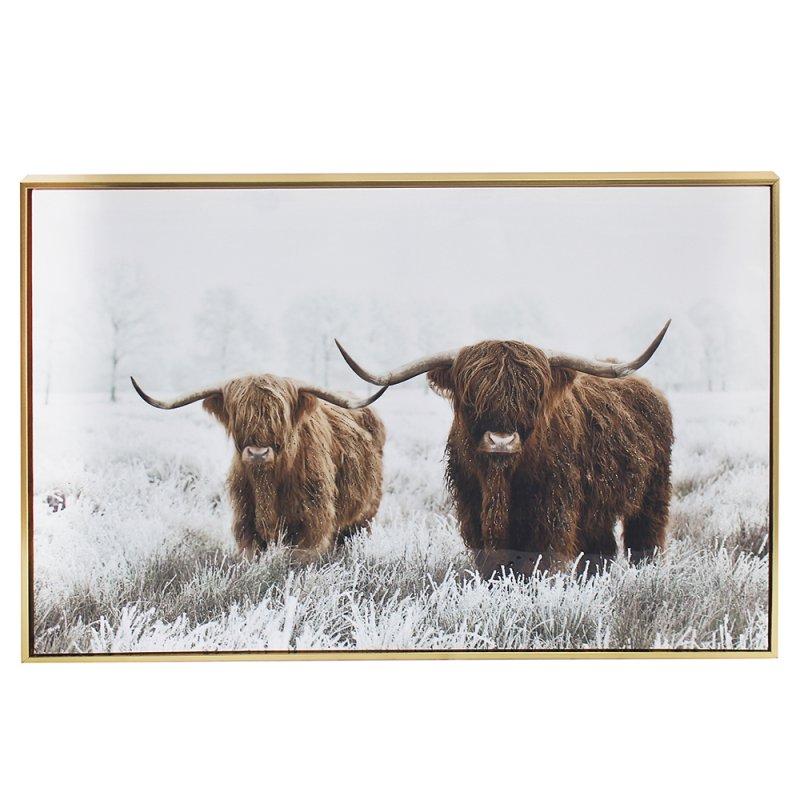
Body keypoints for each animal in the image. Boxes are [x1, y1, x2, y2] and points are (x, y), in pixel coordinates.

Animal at [131, 374, 387, 562]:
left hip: (365, 516)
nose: (257, 453)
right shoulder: (245, 523)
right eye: (238, 415)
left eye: (280, 415)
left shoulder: (313, 524)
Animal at [335, 322, 673, 578]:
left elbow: (542, 560)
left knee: (645, 536)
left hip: (652, 493)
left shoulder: (554, 510)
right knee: (601, 548)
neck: (501, 480)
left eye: (532, 396)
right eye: (471, 395)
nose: (501, 441)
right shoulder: (472, 506)